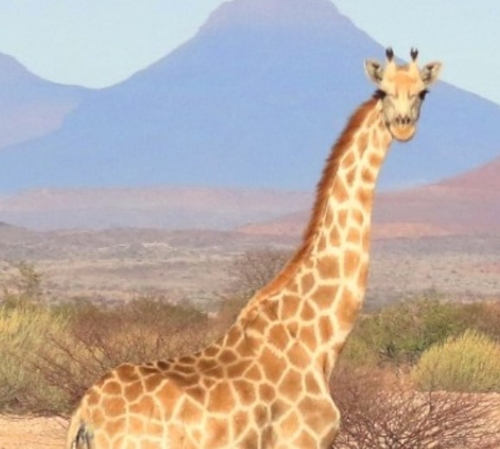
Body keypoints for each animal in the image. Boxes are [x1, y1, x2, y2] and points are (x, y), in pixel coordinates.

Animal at [67, 48, 442, 449]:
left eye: (422, 93)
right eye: (384, 91)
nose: (403, 126)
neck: (318, 344)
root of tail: (86, 414)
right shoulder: (303, 441)